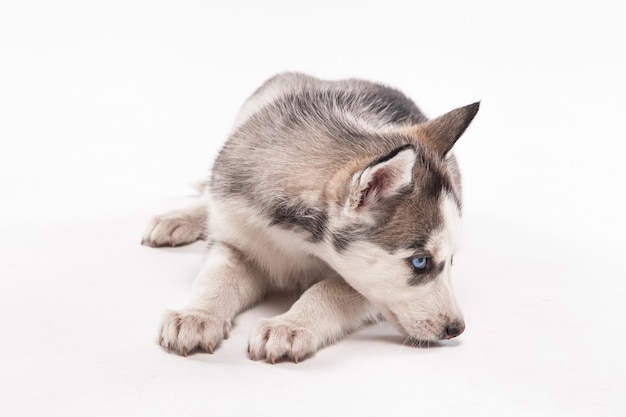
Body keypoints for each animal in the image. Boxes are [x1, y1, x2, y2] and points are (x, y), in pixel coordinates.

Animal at [143, 73, 478, 362]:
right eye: (420, 262)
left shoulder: (363, 286)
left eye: (451, 260)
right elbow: (217, 277)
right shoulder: (234, 236)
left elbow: (328, 289)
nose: (456, 329)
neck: (296, 241)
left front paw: (290, 325)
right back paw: (179, 218)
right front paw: (196, 316)